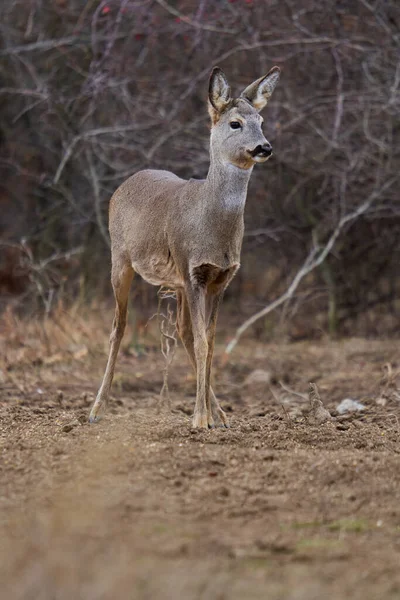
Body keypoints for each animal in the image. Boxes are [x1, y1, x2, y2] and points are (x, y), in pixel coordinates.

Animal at [88, 65, 280, 428]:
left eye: (262, 120)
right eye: (235, 123)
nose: (265, 147)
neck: (212, 226)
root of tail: (126, 182)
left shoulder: (221, 278)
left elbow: (210, 341)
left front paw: (213, 416)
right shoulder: (193, 270)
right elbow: (204, 340)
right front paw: (199, 419)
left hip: (174, 282)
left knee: (182, 331)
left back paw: (218, 413)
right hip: (120, 259)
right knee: (118, 326)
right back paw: (96, 409)